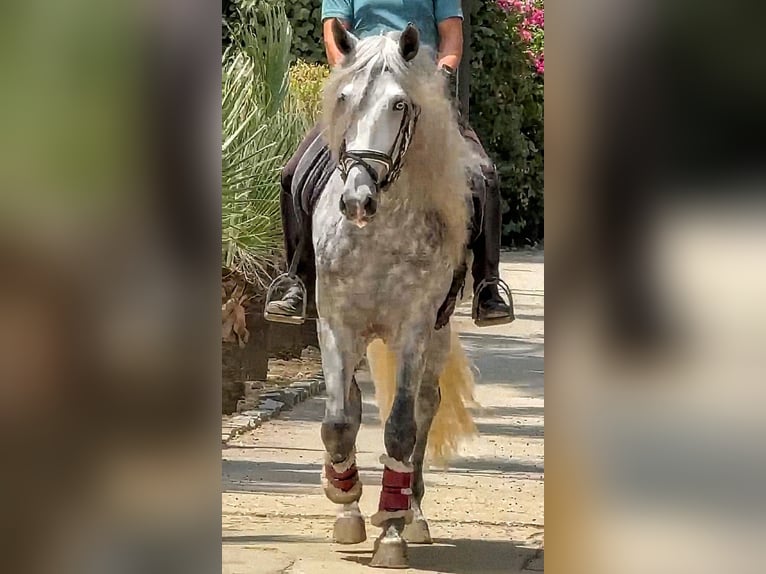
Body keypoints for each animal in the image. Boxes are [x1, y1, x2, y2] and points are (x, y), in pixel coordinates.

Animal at [314, 20, 477, 568]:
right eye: (343, 98)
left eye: (399, 104)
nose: (356, 201)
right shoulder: (335, 323)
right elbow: (338, 422)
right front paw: (343, 495)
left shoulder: (413, 327)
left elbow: (401, 428)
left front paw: (392, 530)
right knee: (353, 405)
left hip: (438, 335)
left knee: (425, 407)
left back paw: (414, 512)